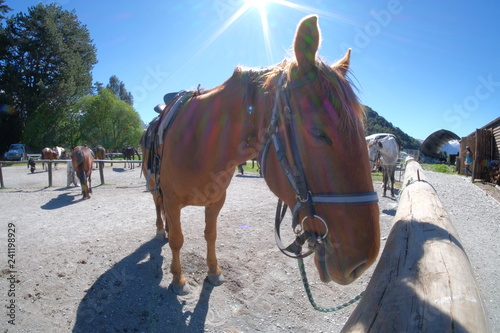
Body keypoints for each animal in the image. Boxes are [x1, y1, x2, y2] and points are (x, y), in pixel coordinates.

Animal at [141, 16, 378, 294]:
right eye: (318, 133)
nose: (363, 261)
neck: (200, 144)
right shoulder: (172, 200)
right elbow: (178, 240)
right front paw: (178, 279)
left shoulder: (215, 202)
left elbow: (211, 235)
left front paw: (214, 271)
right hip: (156, 186)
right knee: (158, 207)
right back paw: (161, 230)